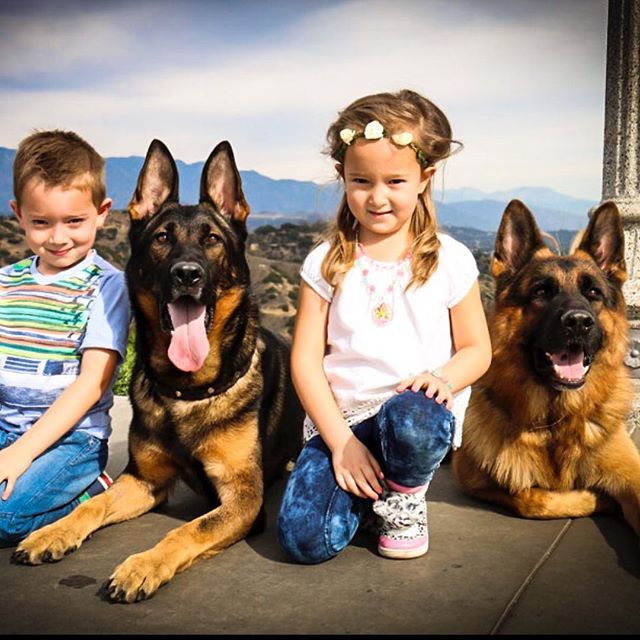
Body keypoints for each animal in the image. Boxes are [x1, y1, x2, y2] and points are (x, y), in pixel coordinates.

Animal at [12, 139, 302, 600]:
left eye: (212, 239)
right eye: (162, 238)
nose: (187, 274)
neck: (188, 390)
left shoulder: (242, 500)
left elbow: (188, 530)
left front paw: (142, 565)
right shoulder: (142, 481)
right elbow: (94, 505)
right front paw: (53, 532)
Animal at [450, 199, 640, 536]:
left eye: (593, 293)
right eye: (540, 292)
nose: (578, 322)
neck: (558, 420)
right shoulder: (473, 478)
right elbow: (532, 498)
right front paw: (599, 499)